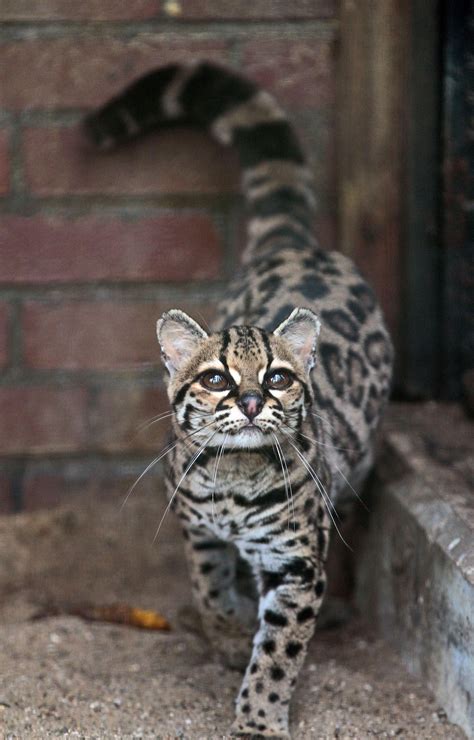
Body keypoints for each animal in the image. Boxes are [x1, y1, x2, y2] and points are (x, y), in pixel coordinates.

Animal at [84, 60, 392, 736]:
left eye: (277, 378)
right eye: (216, 379)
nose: (251, 402)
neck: (234, 480)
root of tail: (292, 244)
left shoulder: (296, 562)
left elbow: (279, 649)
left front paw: (258, 718)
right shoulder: (189, 516)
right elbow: (206, 579)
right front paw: (225, 632)